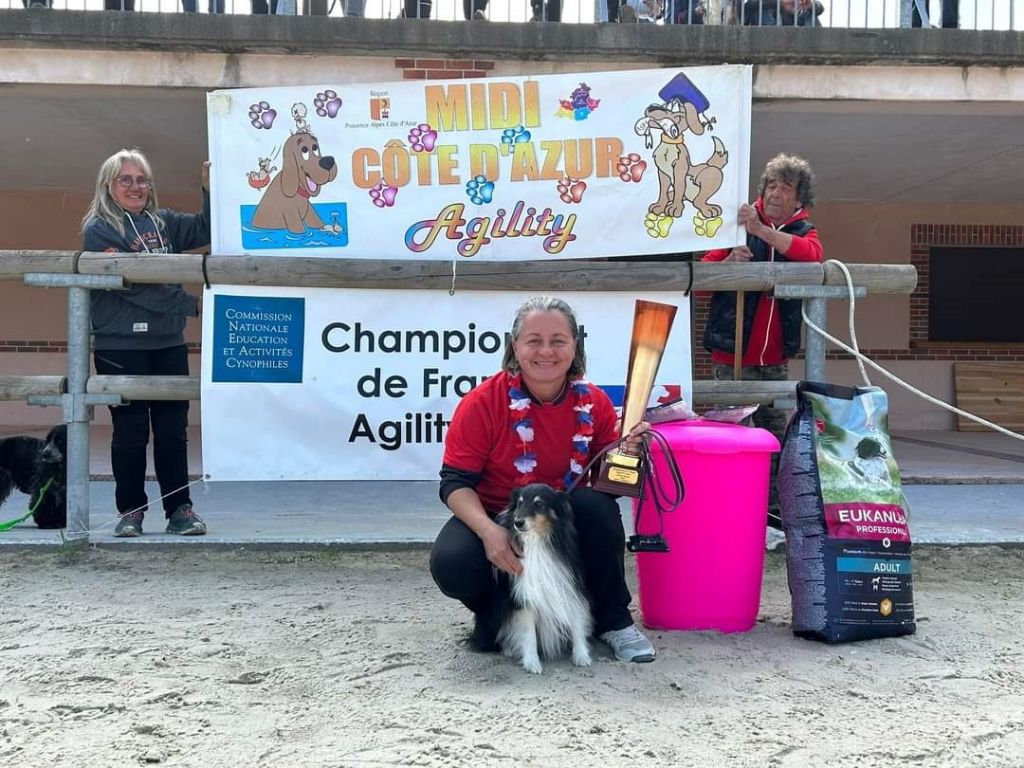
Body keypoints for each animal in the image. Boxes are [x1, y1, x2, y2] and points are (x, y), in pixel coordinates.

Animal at [489, 483, 593, 675]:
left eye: (538, 504)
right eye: (520, 503)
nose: (518, 522)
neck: (537, 542)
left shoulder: (570, 586)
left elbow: (577, 621)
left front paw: (581, 655)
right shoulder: (524, 597)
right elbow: (528, 634)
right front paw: (532, 663)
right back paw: (507, 649)